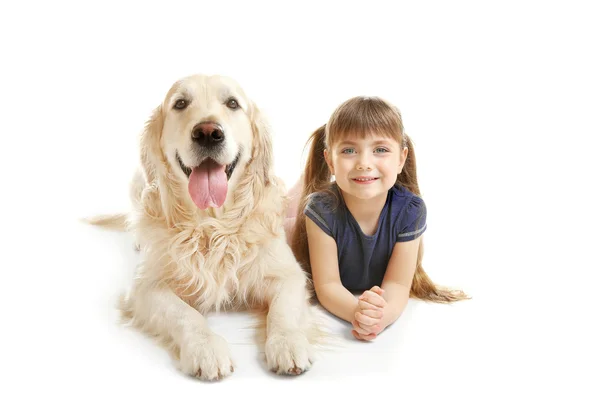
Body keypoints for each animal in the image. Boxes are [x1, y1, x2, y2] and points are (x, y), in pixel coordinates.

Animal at [88, 73, 324, 382]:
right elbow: (185, 314)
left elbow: (283, 310)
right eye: (180, 103)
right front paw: (206, 349)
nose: (208, 133)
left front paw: (287, 343)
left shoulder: (289, 273)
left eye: (232, 103)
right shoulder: (146, 287)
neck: (213, 224)